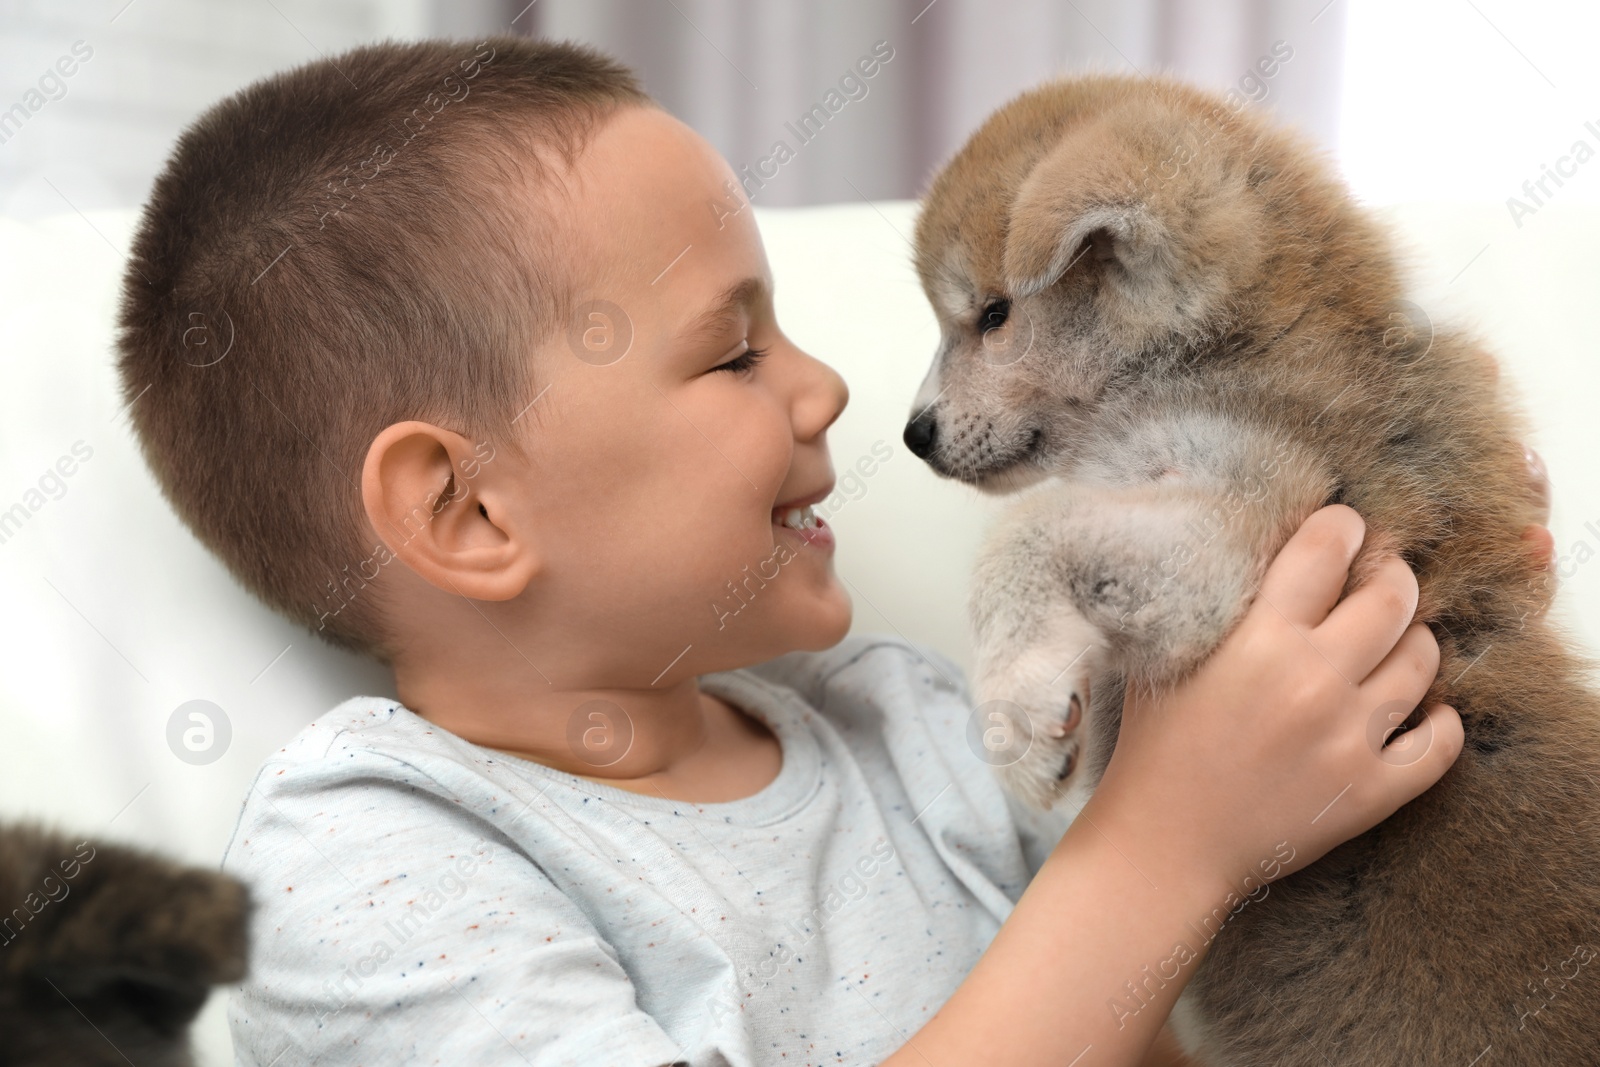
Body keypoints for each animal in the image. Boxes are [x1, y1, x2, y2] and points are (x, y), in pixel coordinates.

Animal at [908, 75, 1600, 1067]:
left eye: (994, 315)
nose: (913, 433)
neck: (1243, 355)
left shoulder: (1245, 525)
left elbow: (1026, 532)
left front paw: (1017, 710)